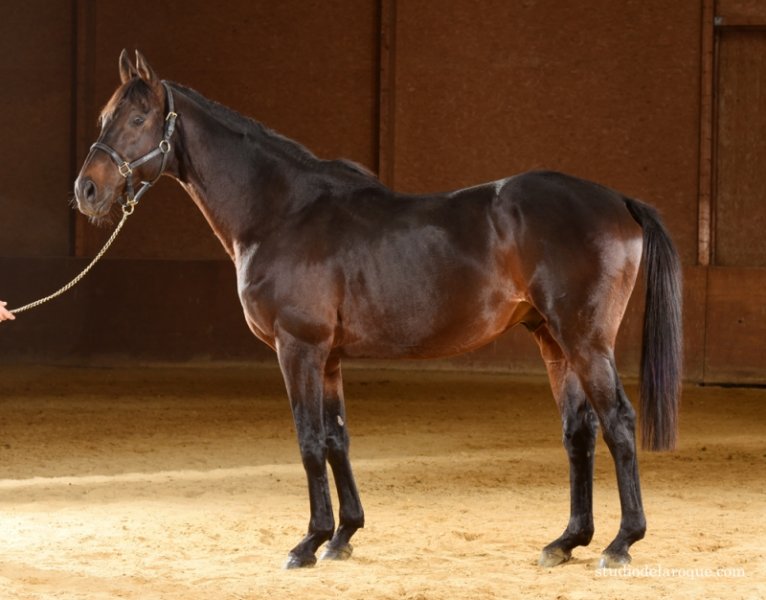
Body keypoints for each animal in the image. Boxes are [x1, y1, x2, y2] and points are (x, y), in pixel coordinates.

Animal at [73, 50, 682, 570]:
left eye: (138, 119)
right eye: (105, 115)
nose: (86, 191)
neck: (282, 213)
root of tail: (617, 200)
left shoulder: (298, 348)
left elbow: (309, 440)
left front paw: (308, 542)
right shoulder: (329, 357)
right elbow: (336, 438)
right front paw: (343, 536)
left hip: (584, 340)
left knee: (618, 423)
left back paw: (621, 543)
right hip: (553, 341)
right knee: (579, 431)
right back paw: (567, 541)